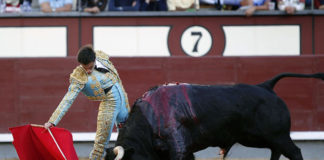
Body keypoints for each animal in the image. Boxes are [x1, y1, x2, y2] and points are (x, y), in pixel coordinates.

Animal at [106, 73, 324, 160]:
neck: (149, 118)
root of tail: (266, 86)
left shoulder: (179, 147)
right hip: (257, 138)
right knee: (276, 151)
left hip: (278, 135)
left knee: (294, 151)